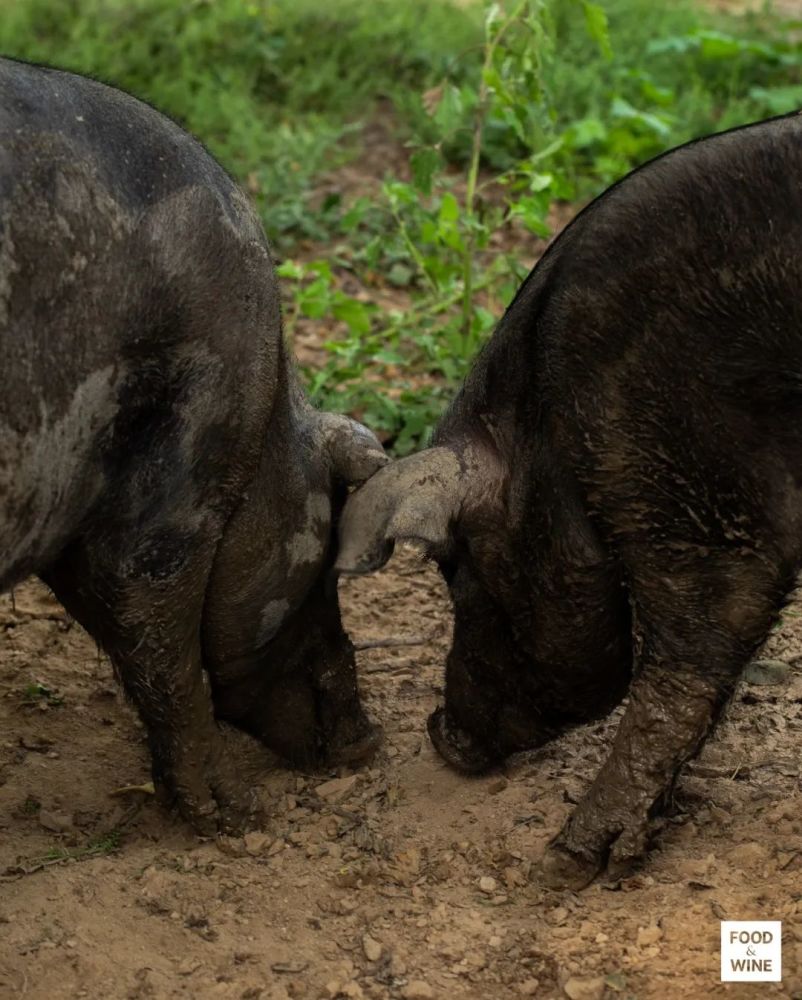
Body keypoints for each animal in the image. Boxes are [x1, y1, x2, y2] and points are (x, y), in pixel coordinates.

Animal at [334, 113, 800, 888]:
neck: (546, 428)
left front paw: (564, 866)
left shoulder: (689, 476)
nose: (438, 733)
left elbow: (690, 655)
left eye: (458, 573)